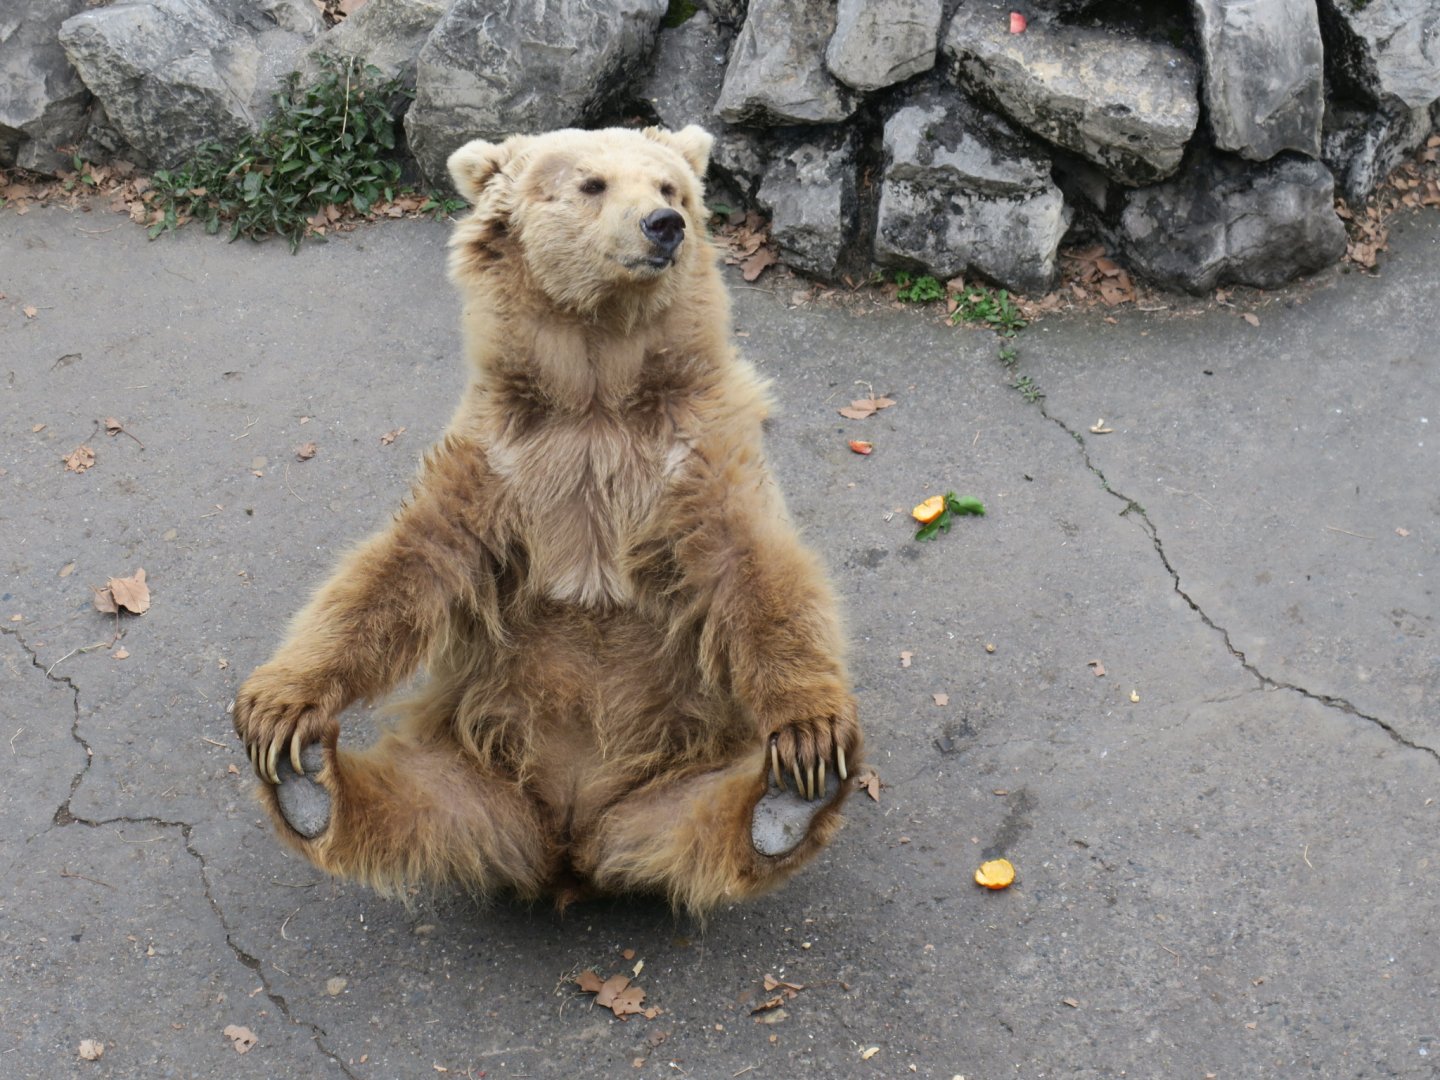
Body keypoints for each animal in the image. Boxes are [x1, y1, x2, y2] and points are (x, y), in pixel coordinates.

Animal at [232, 124, 862, 915]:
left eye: (670, 187)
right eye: (592, 184)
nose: (665, 225)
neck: (596, 387)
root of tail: (569, 845)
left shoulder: (691, 456)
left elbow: (756, 570)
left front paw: (811, 734)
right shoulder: (501, 464)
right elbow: (402, 567)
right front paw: (278, 711)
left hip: (676, 770)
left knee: (701, 819)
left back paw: (785, 804)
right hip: (475, 768)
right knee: (422, 807)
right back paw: (308, 784)